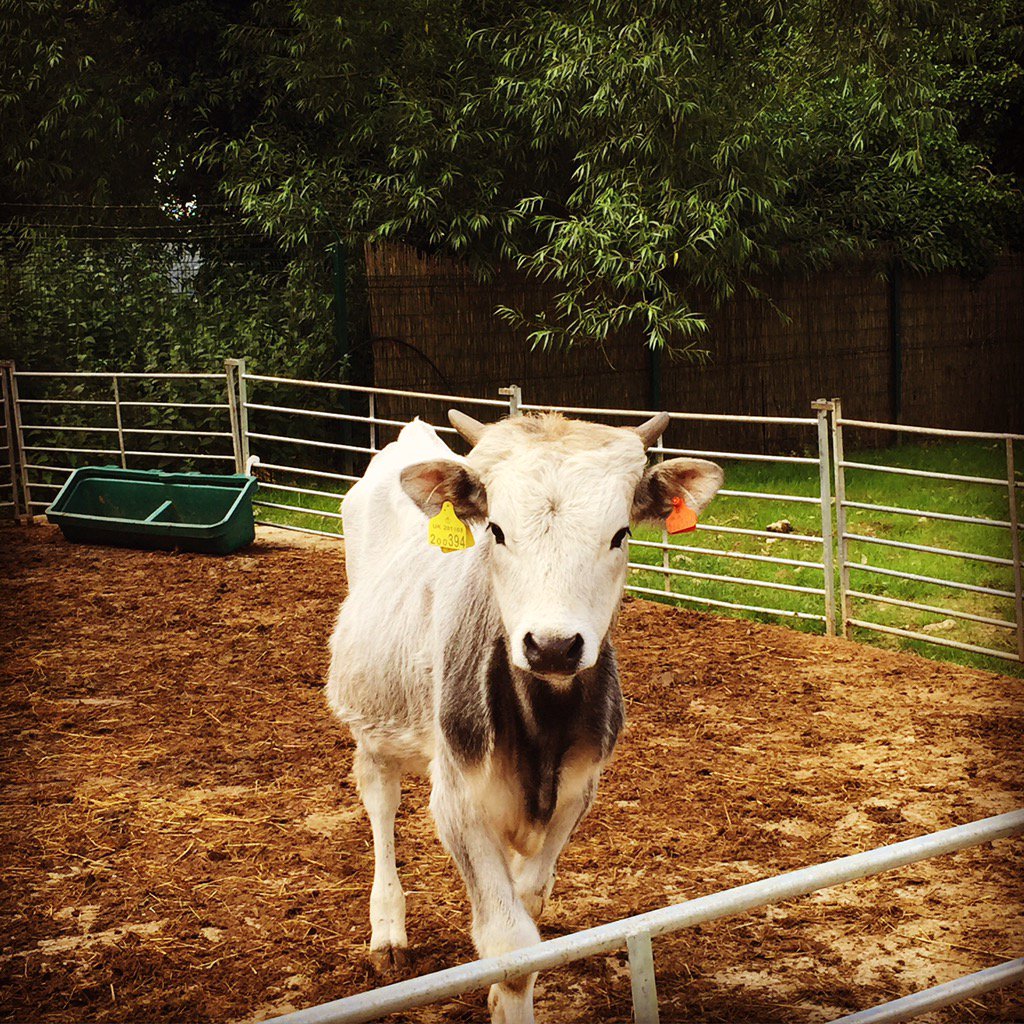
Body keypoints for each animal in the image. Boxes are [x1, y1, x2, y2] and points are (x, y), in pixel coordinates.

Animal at [326, 409, 723, 1023]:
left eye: (621, 534)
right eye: (495, 530)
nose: (554, 646)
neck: (542, 731)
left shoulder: (577, 790)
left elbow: (529, 897)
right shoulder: (458, 801)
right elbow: (511, 946)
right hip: (372, 716)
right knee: (380, 799)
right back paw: (387, 928)